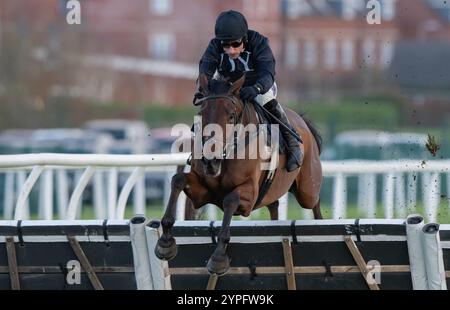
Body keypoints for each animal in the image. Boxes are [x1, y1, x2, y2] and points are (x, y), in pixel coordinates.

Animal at [156, 74, 324, 274]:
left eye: (231, 115)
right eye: (202, 113)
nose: (210, 159)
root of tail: (303, 121)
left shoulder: (249, 196)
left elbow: (230, 200)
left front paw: (218, 257)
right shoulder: (202, 193)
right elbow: (178, 180)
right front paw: (165, 242)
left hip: (307, 190)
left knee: (315, 203)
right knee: (274, 205)